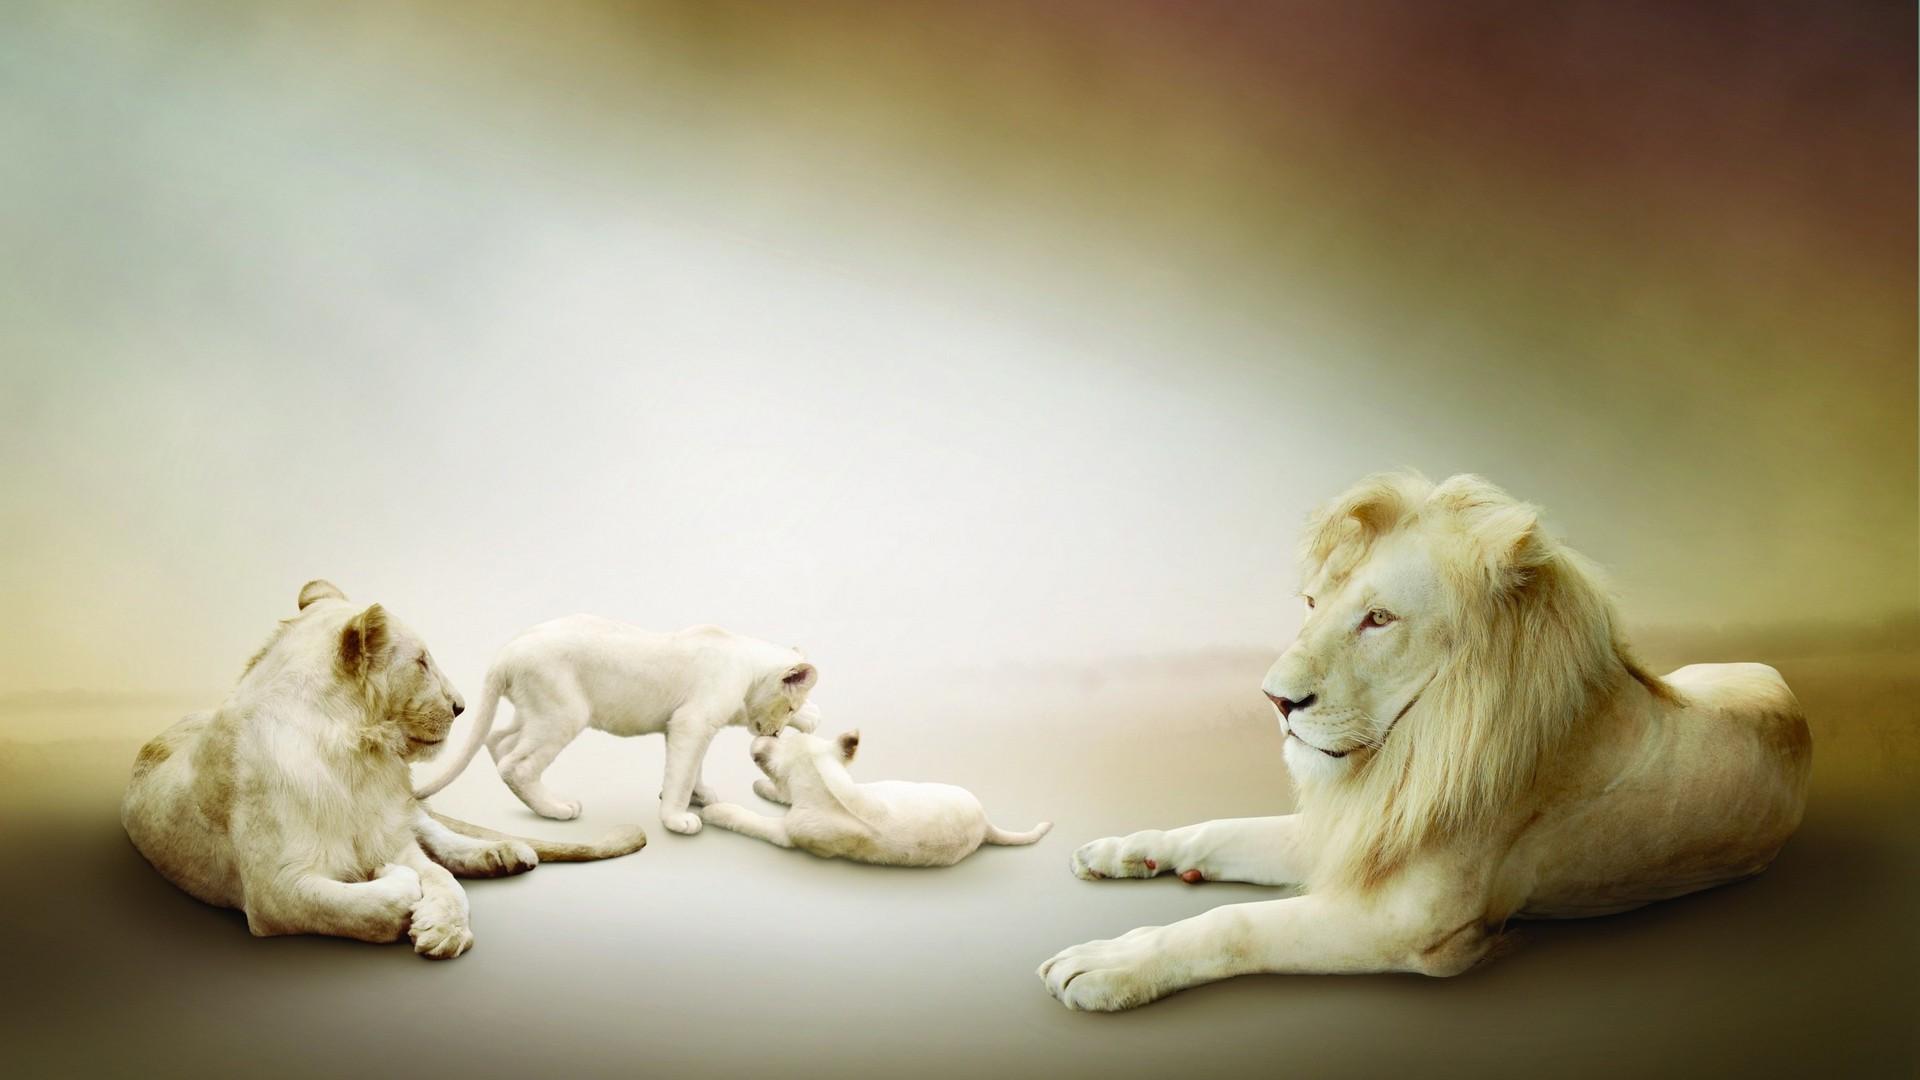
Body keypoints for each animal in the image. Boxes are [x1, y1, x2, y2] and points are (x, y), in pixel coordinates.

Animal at [121, 581, 648, 959]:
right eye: (421, 662)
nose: (460, 706)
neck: (357, 759)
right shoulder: (275, 892)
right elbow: (363, 905)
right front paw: (393, 885)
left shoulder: (388, 830)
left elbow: (443, 879)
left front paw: (444, 930)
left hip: (408, 812)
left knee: (437, 835)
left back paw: (503, 852)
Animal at [1039, 473, 1811, 1010]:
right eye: (1313, 604)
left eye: (1379, 618)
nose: (1274, 700)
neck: (1406, 755)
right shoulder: (1357, 831)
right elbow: (1221, 828)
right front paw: (1125, 850)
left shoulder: (1413, 925)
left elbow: (1237, 924)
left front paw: (1109, 964)